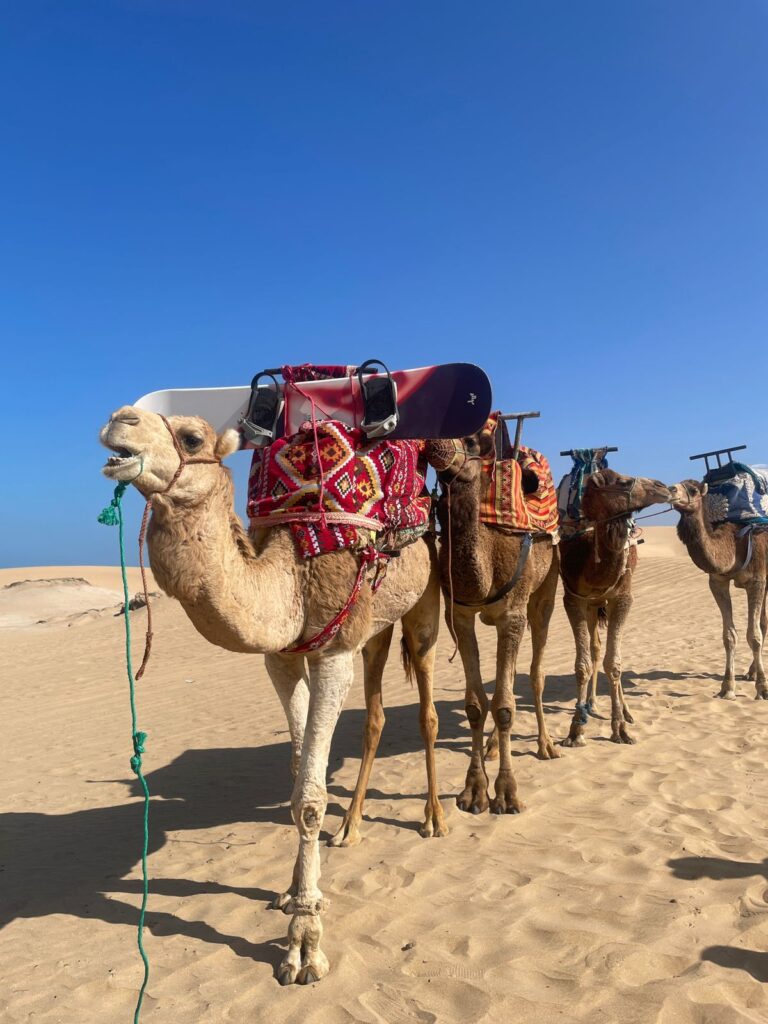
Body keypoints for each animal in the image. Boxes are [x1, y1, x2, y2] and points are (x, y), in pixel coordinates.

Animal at [100, 405, 447, 986]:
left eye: (191, 437)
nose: (118, 420)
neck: (292, 568)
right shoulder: (281, 657)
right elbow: (296, 771)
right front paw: (292, 893)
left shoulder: (332, 652)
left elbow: (310, 797)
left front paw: (304, 944)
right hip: (374, 627)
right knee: (375, 713)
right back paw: (351, 829)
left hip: (426, 604)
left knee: (427, 708)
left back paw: (436, 818)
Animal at [426, 430, 560, 816]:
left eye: (472, 441)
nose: (434, 445)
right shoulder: (459, 615)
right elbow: (476, 704)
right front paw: (474, 792)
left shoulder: (513, 614)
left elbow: (503, 707)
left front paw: (506, 794)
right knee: (510, 679)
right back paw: (493, 748)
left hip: (545, 588)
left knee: (535, 670)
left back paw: (547, 745)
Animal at [559, 468, 672, 746]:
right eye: (622, 481)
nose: (663, 487)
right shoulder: (573, 599)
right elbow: (583, 664)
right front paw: (575, 730)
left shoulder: (622, 598)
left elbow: (614, 663)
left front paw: (619, 727)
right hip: (592, 606)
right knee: (596, 648)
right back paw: (591, 704)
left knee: (612, 655)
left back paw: (627, 712)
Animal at [672, 480, 768, 700]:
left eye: (693, 490)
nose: (670, 490)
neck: (733, 547)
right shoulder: (717, 582)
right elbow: (729, 636)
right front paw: (728, 688)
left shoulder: (757, 581)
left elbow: (754, 636)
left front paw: (763, 688)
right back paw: (750, 672)